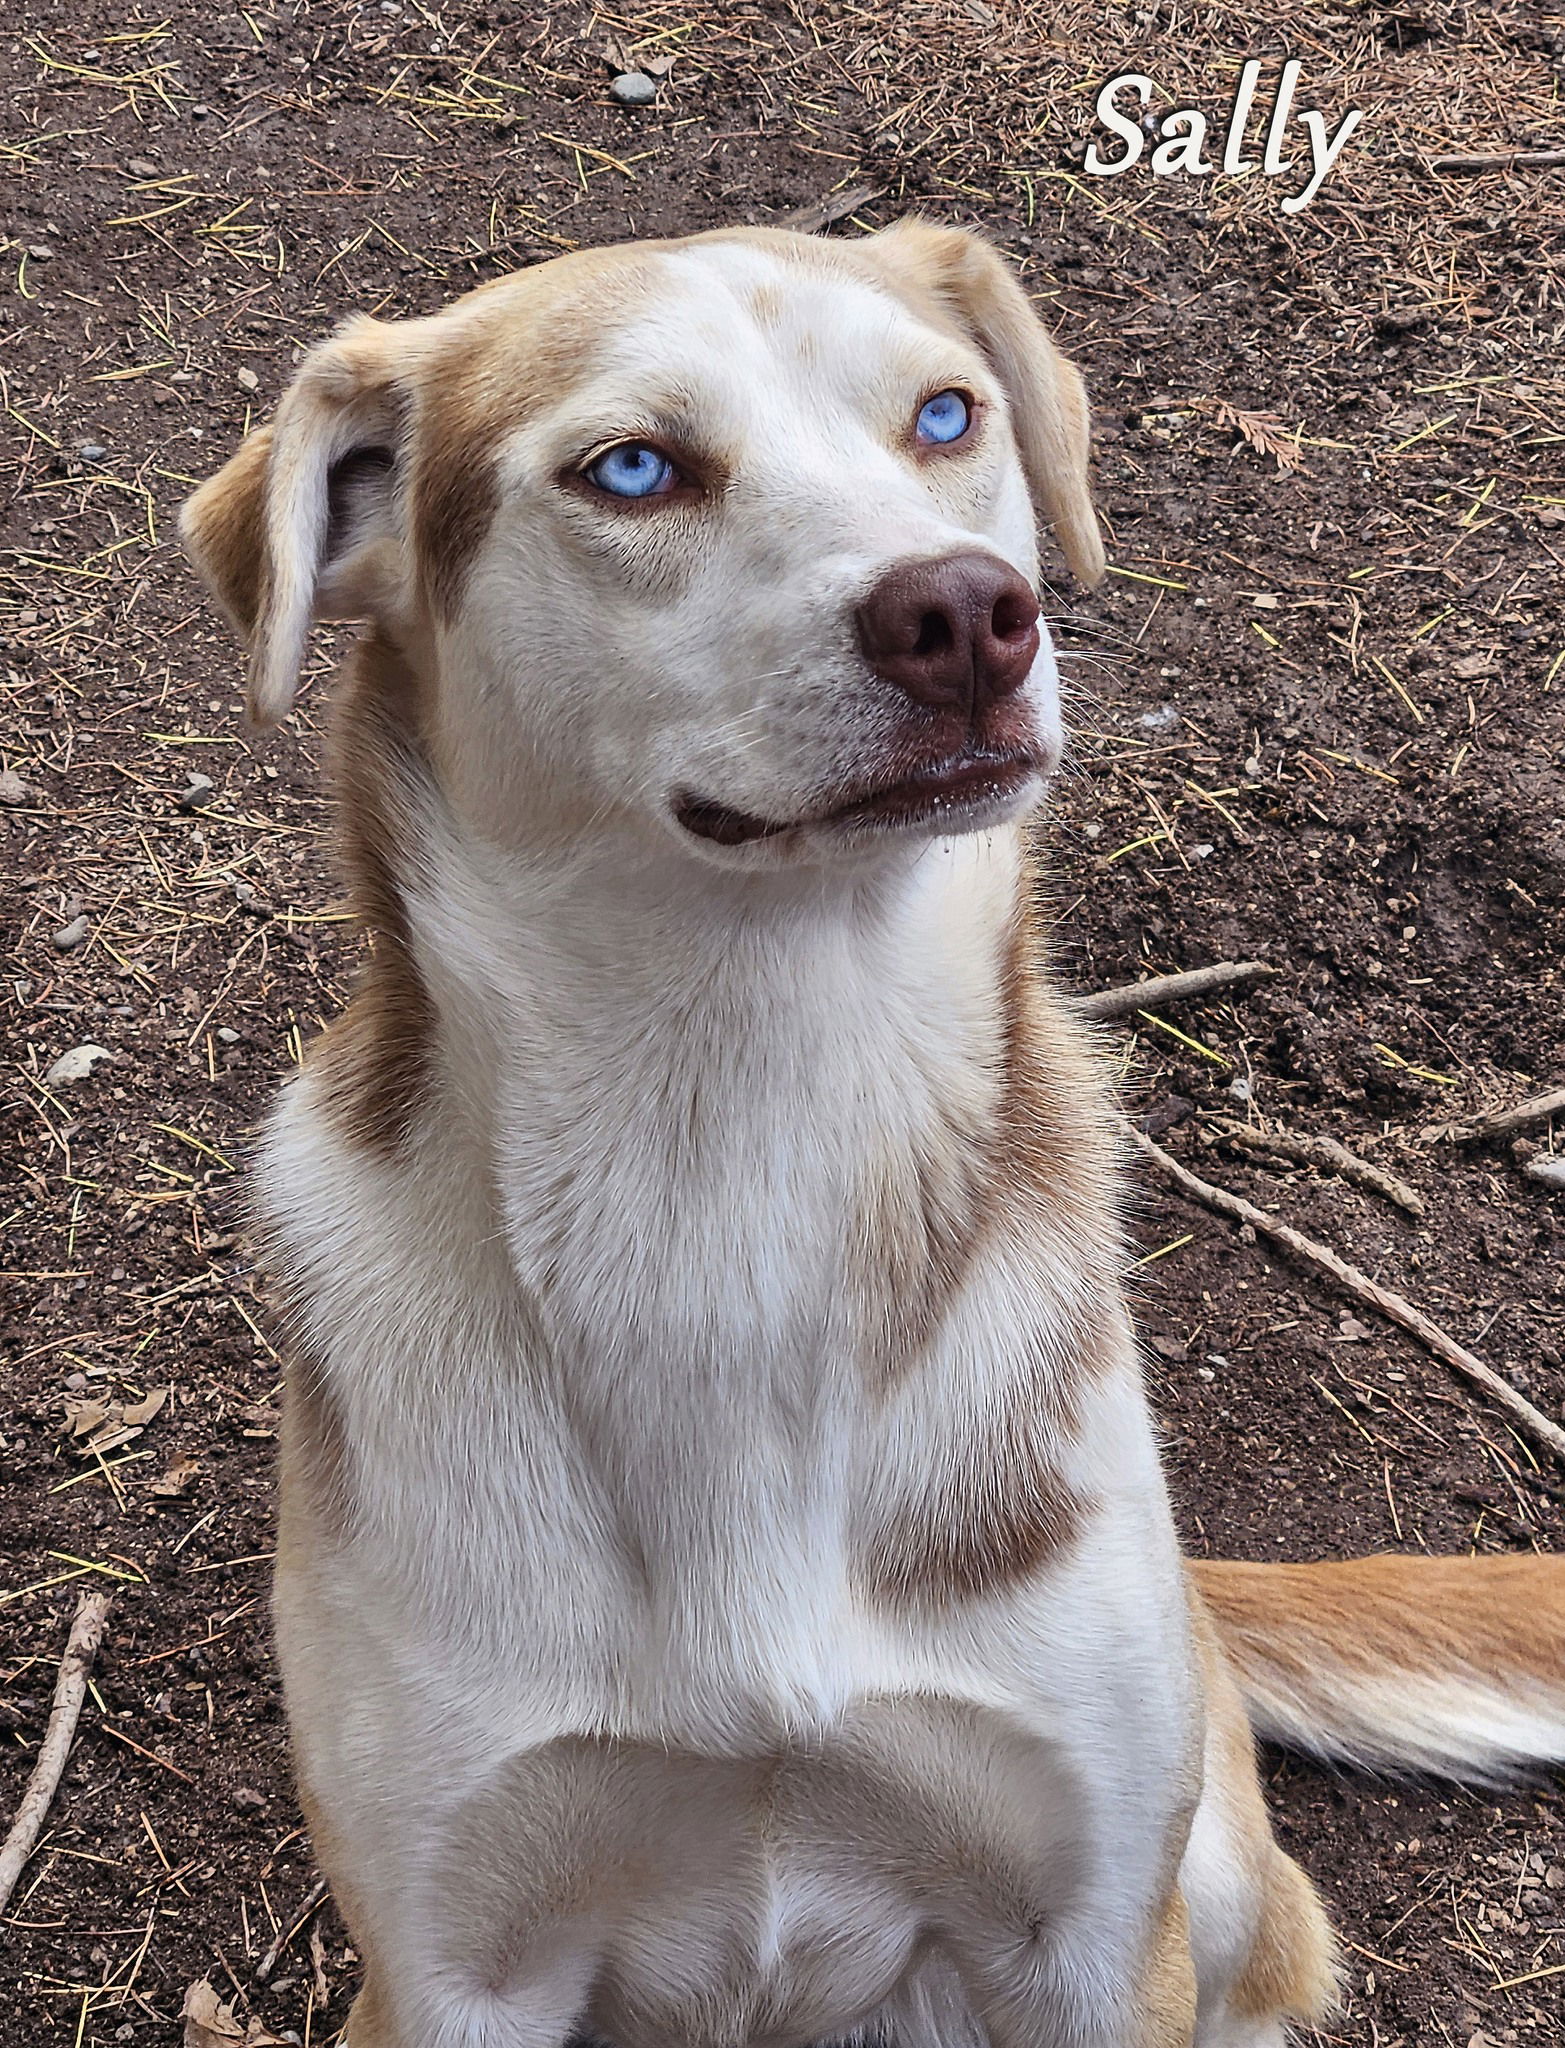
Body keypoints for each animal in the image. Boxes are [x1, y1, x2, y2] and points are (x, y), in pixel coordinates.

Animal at [183, 224, 1565, 2048]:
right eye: (634, 469)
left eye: (944, 414)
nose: (968, 613)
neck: (736, 1134)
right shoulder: (453, 1961)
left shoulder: (1088, 1934)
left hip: (1210, 1885)